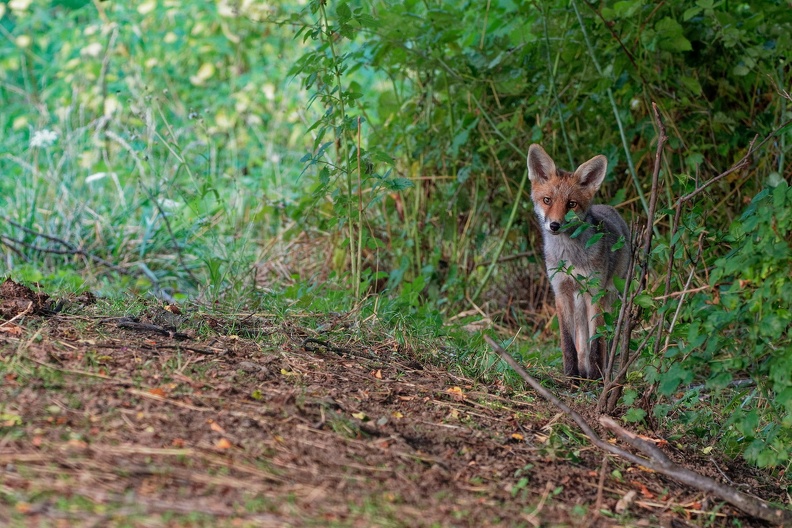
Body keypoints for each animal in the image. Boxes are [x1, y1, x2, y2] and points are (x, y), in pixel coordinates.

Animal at [527, 144, 630, 380]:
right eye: (547, 200)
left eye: (571, 204)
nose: (554, 225)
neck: (570, 257)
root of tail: (610, 208)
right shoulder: (561, 291)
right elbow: (568, 341)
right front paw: (570, 374)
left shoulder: (596, 292)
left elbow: (597, 343)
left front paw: (596, 376)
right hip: (579, 298)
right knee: (582, 341)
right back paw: (582, 370)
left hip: (610, 294)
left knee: (606, 339)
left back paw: (601, 371)